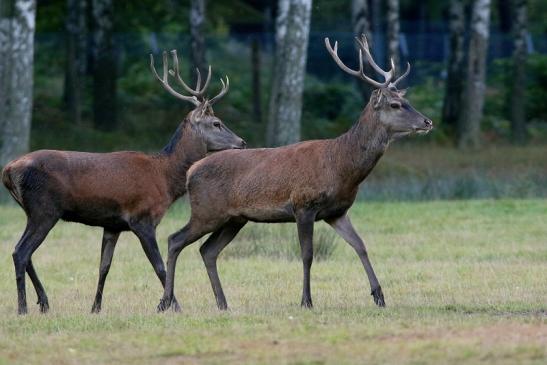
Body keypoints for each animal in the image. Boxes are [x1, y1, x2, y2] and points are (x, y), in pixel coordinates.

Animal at [1, 49, 246, 314]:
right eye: (216, 123)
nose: (242, 142)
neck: (164, 179)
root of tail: (9, 170)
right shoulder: (142, 218)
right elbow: (158, 266)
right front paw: (173, 306)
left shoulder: (113, 225)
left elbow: (104, 266)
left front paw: (95, 308)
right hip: (44, 209)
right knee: (20, 252)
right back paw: (23, 307)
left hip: (33, 212)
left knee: (24, 252)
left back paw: (44, 302)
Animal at [156, 35, 434, 312]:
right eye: (395, 104)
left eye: (408, 101)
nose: (427, 122)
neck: (342, 167)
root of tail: (192, 170)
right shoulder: (303, 205)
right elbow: (308, 254)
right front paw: (306, 300)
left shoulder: (337, 212)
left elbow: (360, 246)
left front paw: (379, 296)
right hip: (206, 211)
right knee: (174, 240)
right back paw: (166, 302)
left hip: (234, 218)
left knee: (208, 250)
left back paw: (223, 304)